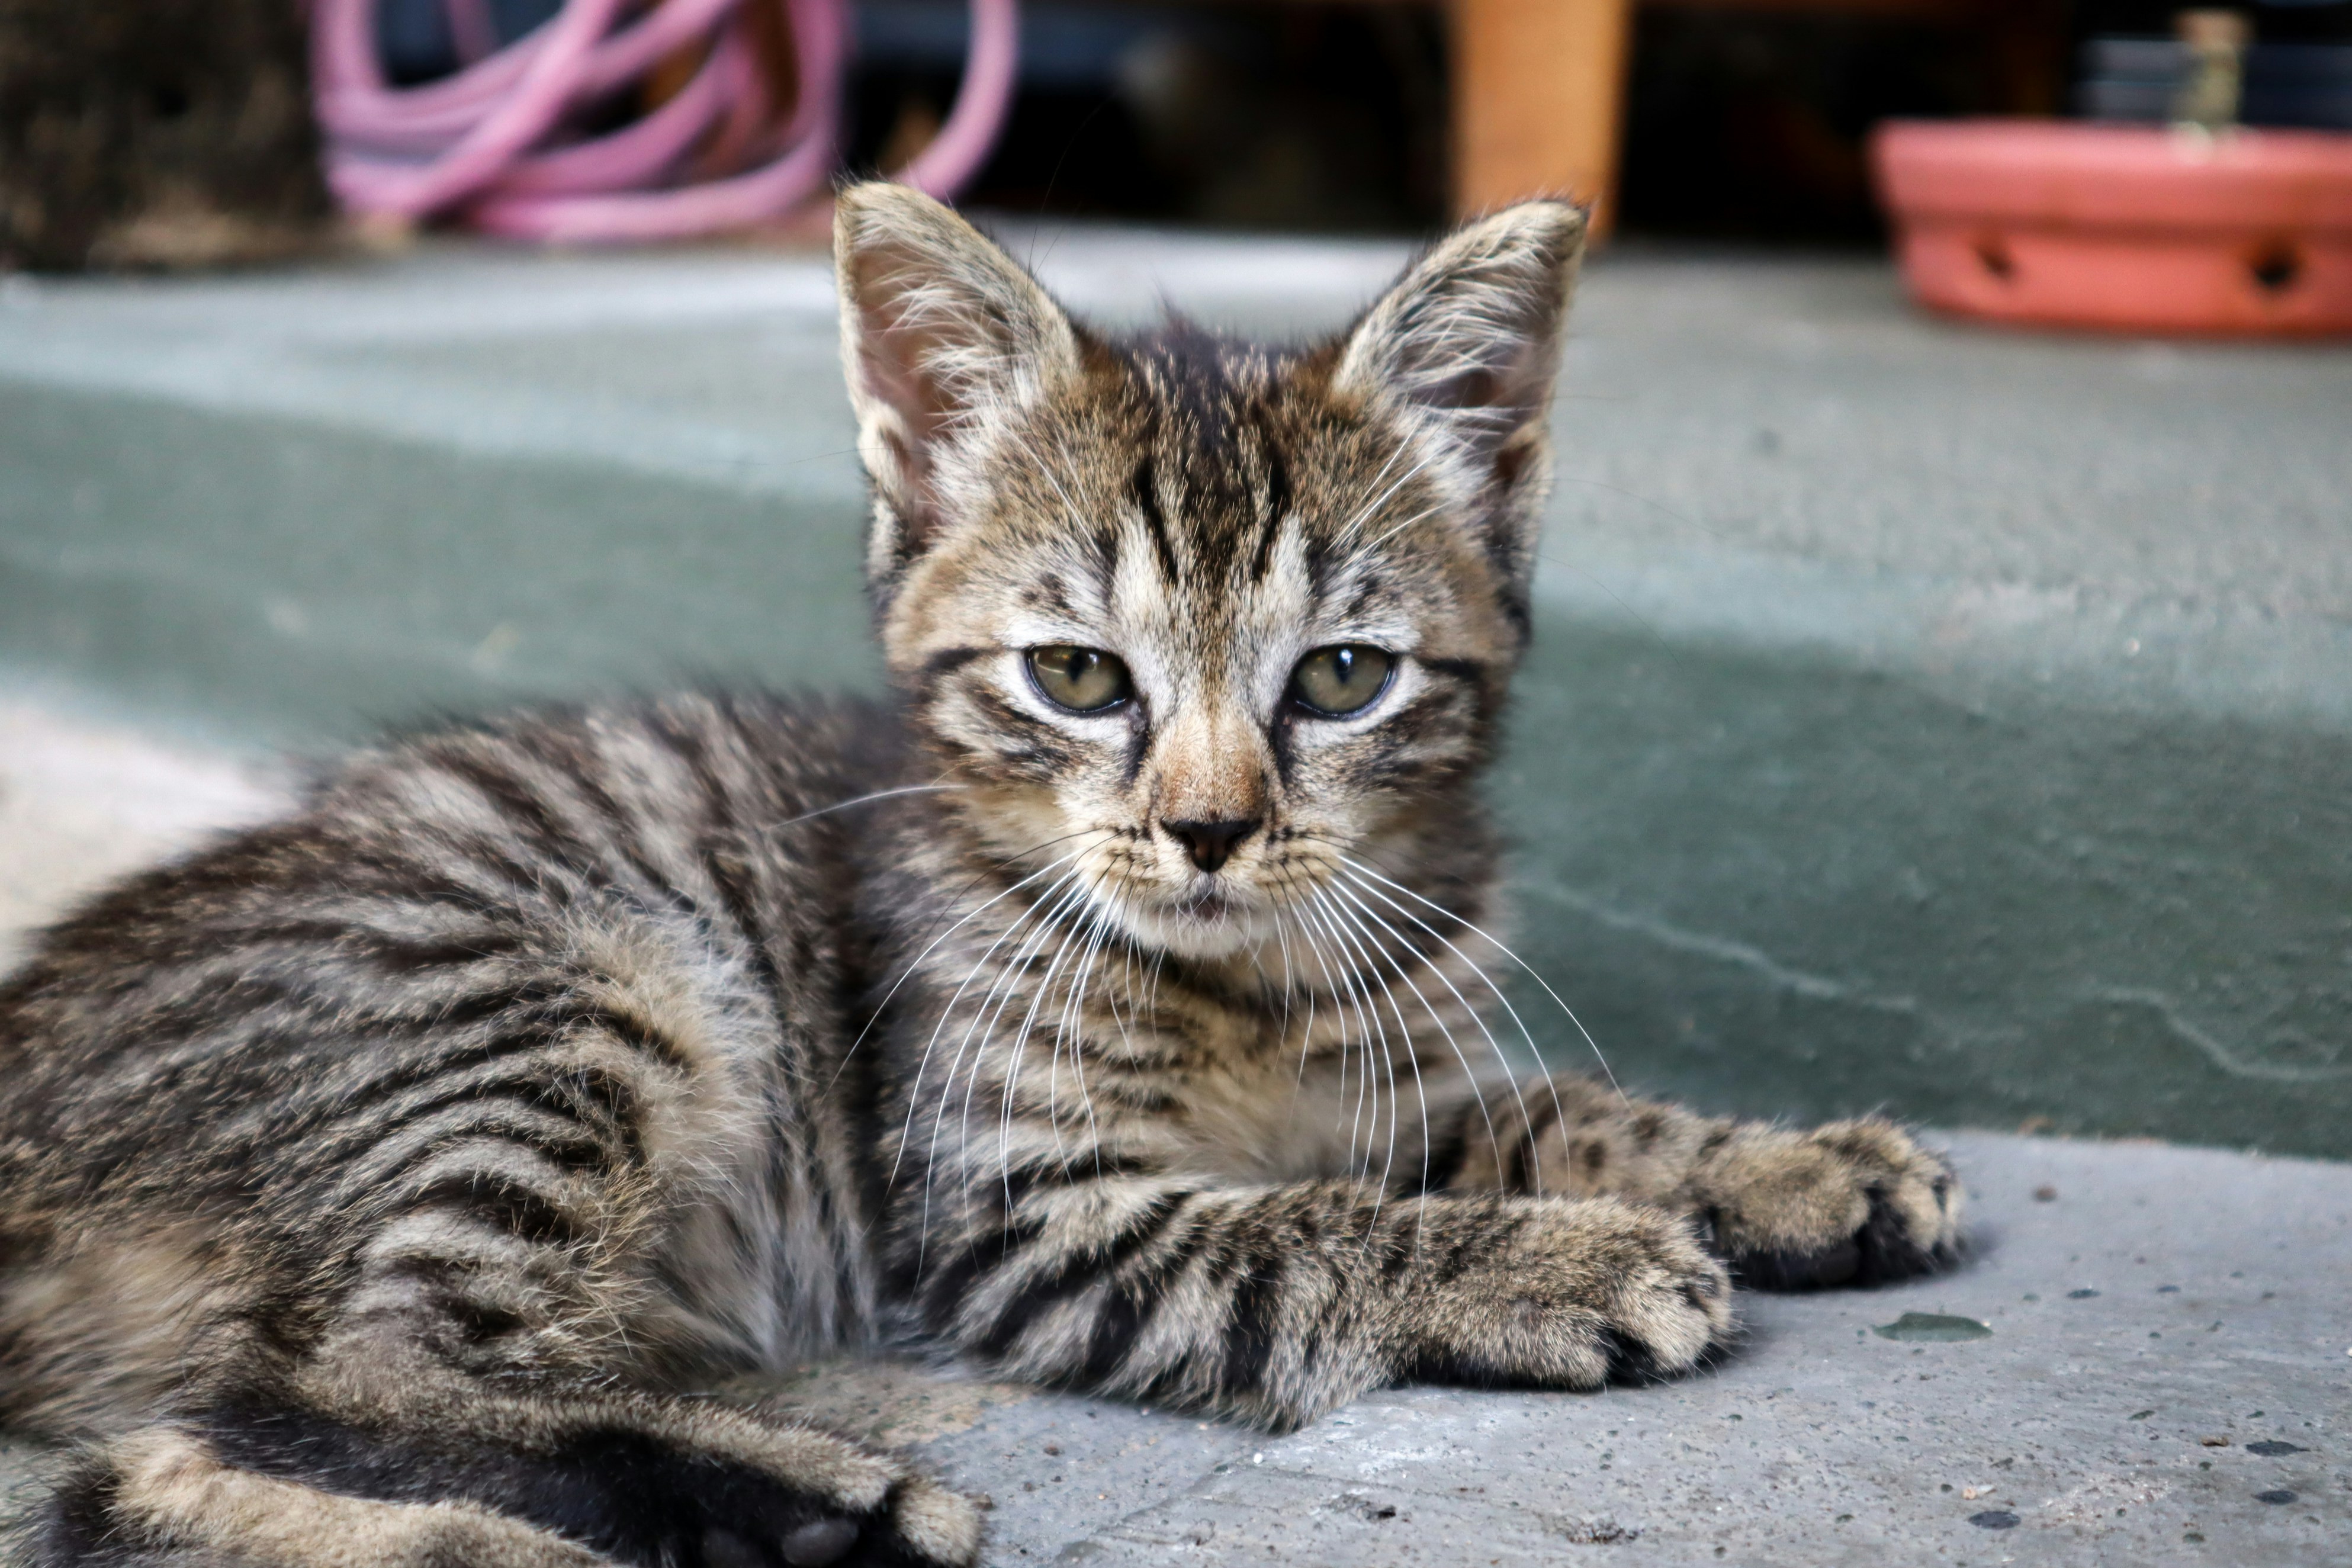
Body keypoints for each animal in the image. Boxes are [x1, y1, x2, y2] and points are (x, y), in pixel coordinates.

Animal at [0, 184, 1961, 1568]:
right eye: (1078, 677)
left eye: (1340, 677)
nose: (1209, 827)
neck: (1250, 983)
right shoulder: (1017, 1214)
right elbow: (1295, 1231)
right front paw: (1561, 1261)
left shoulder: (1390, 1082)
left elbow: (1555, 1106)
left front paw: (1788, 1163)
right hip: (576, 982)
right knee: (339, 1371)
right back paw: (817, 1502)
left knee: (145, 1470)